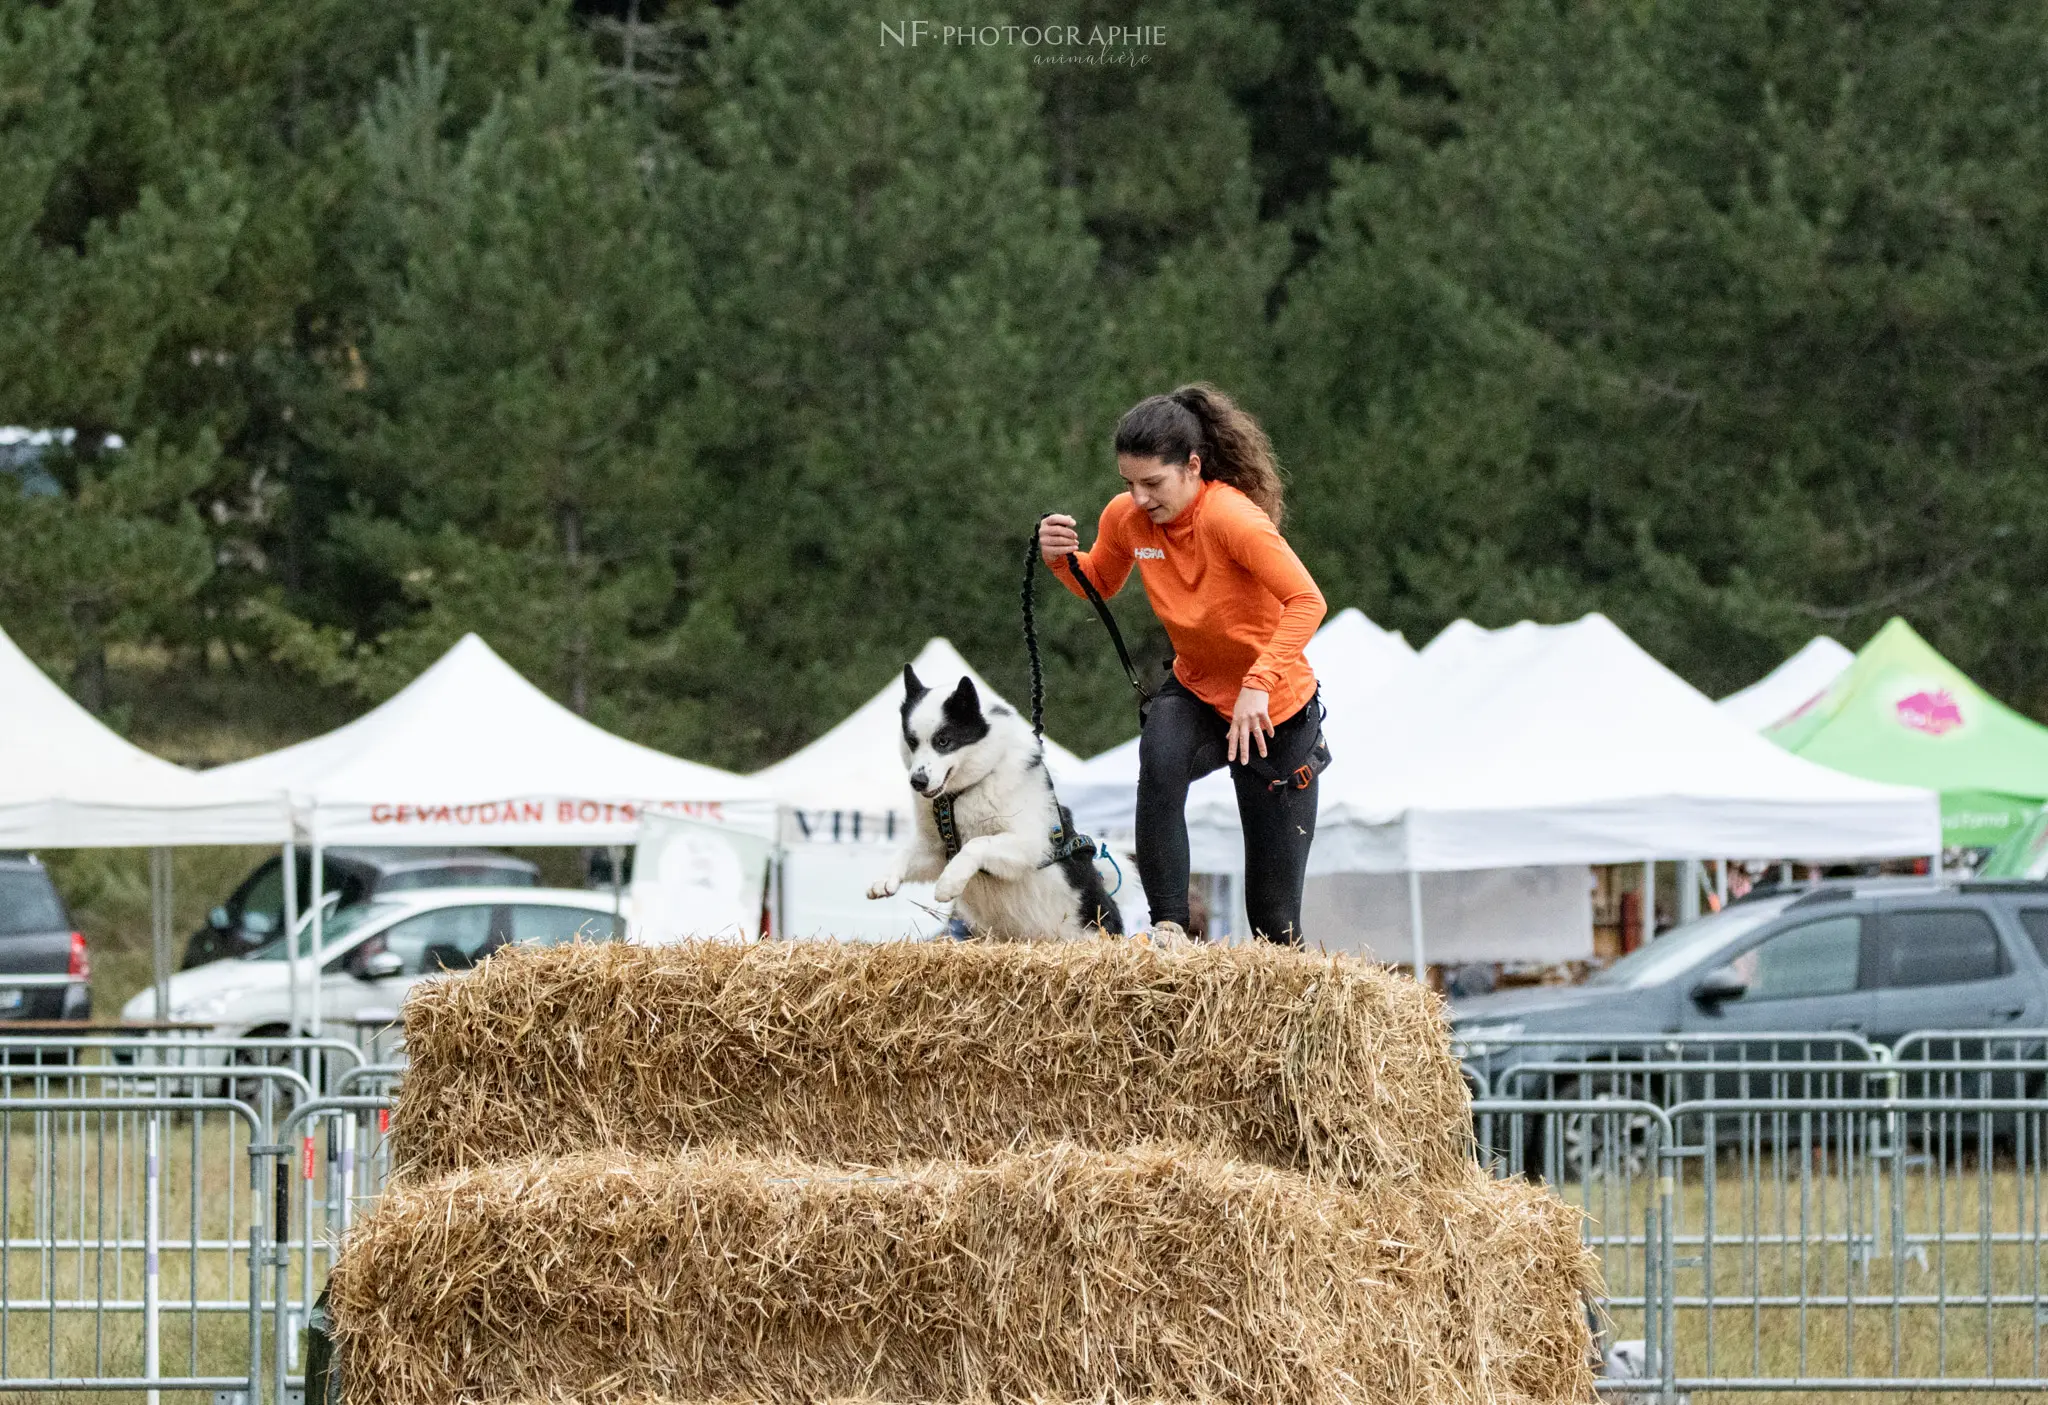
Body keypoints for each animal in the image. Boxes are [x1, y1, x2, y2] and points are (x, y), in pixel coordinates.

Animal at [864, 667, 1122, 942]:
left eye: (943, 741)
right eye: (912, 742)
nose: (918, 782)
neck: (965, 791)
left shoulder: (1031, 845)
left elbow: (976, 844)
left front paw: (948, 883)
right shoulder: (935, 851)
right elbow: (904, 853)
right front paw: (885, 880)